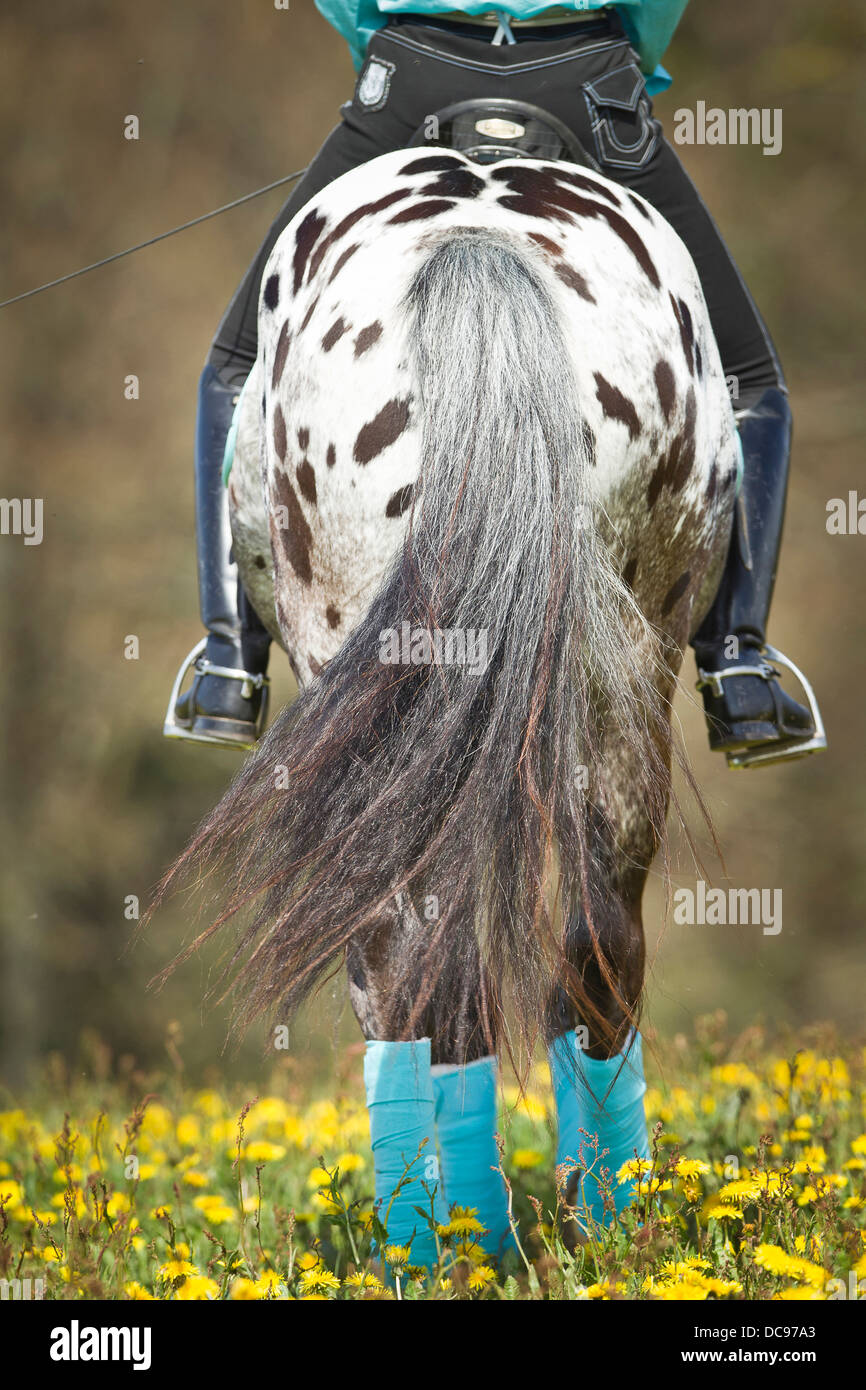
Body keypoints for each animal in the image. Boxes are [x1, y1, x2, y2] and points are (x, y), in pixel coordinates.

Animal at [158, 144, 740, 1266]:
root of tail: (477, 237)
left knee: (402, 962)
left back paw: (446, 1245)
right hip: (623, 672)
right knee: (593, 941)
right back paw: (601, 1221)